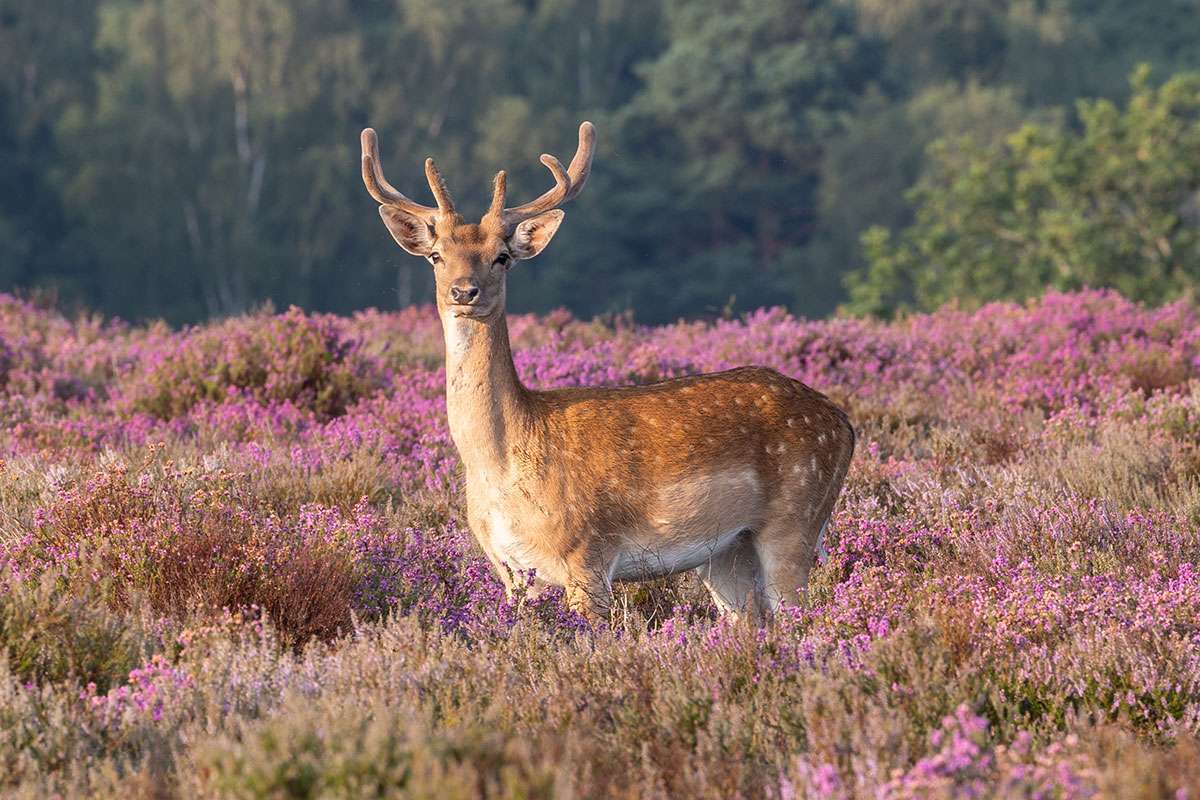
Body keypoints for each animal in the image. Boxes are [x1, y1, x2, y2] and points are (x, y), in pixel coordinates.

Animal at [361, 121, 855, 623]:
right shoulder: (511, 571)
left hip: (796, 518)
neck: (501, 466)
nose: (464, 291)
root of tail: (844, 423)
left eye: (502, 255)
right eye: (436, 255)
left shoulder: (587, 553)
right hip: (727, 551)